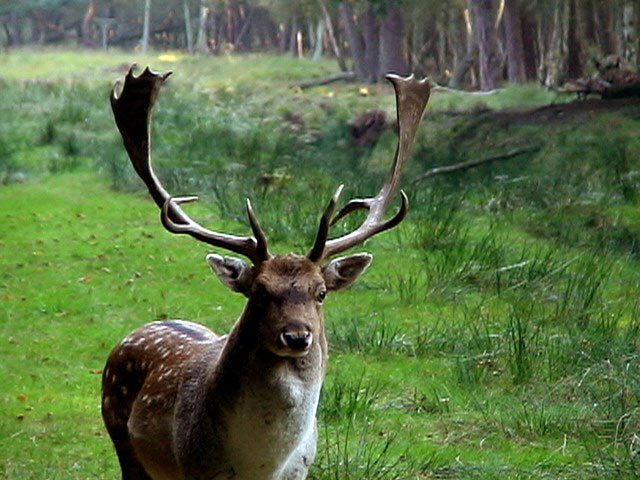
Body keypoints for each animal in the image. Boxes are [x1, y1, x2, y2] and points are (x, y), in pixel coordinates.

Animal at [101, 64, 430, 480]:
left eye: (321, 292)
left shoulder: (301, 471)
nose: (297, 336)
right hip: (122, 438)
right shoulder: (196, 467)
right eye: (258, 291)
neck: (261, 464)